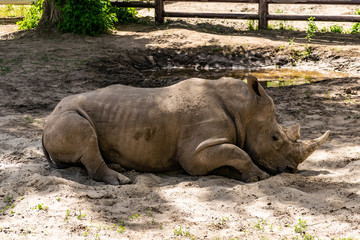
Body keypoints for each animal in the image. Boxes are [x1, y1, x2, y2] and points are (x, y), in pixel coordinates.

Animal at [41, 76, 330, 185]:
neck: (243, 109)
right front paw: (258, 176)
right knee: (83, 132)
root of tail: (45, 122)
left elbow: (233, 153)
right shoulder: (195, 151)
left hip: (62, 118)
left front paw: (235, 175)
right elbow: (238, 152)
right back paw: (121, 180)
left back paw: (121, 168)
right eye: (275, 138)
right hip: (66, 117)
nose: (292, 170)